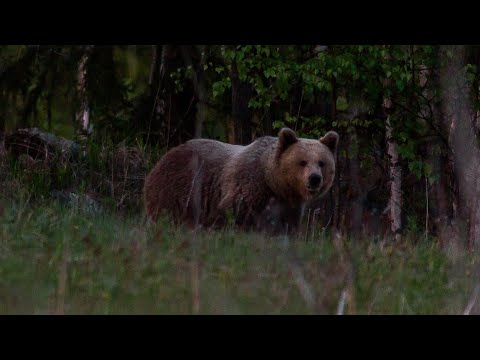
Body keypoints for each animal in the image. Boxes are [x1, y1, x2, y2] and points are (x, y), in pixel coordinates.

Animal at [142, 126, 338, 233]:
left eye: (321, 163)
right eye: (302, 162)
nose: (314, 178)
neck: (274, 183)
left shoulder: (289, 206)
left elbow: (285, 228)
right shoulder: (249, 187)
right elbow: (229, 214)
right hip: (179, 188)